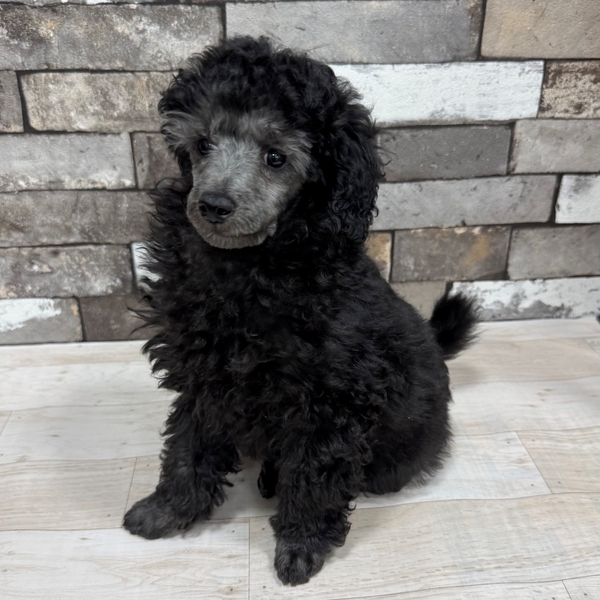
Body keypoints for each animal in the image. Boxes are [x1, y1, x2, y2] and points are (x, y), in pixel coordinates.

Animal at [123, 36, 477, 585]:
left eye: (275, 158)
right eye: (202, 145)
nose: (213, 206)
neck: (252, 265)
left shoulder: (330, 396)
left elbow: (314, 472)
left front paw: (301, 545)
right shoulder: (205, 375)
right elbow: (188, 445)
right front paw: (168, 509)